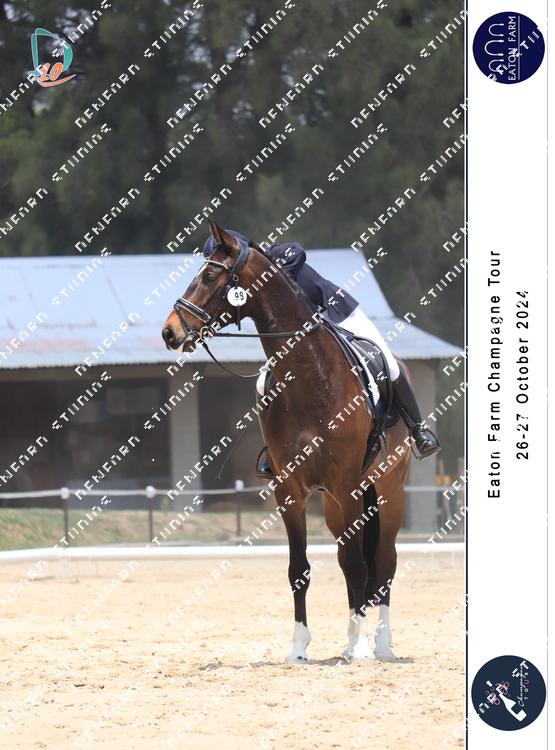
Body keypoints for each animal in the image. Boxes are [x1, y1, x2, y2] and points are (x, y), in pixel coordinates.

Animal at [162, 221, 412, 662]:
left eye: (208, 277)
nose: (169, 332)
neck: (310, 376)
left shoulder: (347, 485)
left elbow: (359, 564)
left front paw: (359, 647)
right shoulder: (290, 489)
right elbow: (301, 570)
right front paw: (299, 648)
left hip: (387, 488)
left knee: (383, 561)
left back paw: (379, 644)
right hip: (333, 505)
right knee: (354, 559)